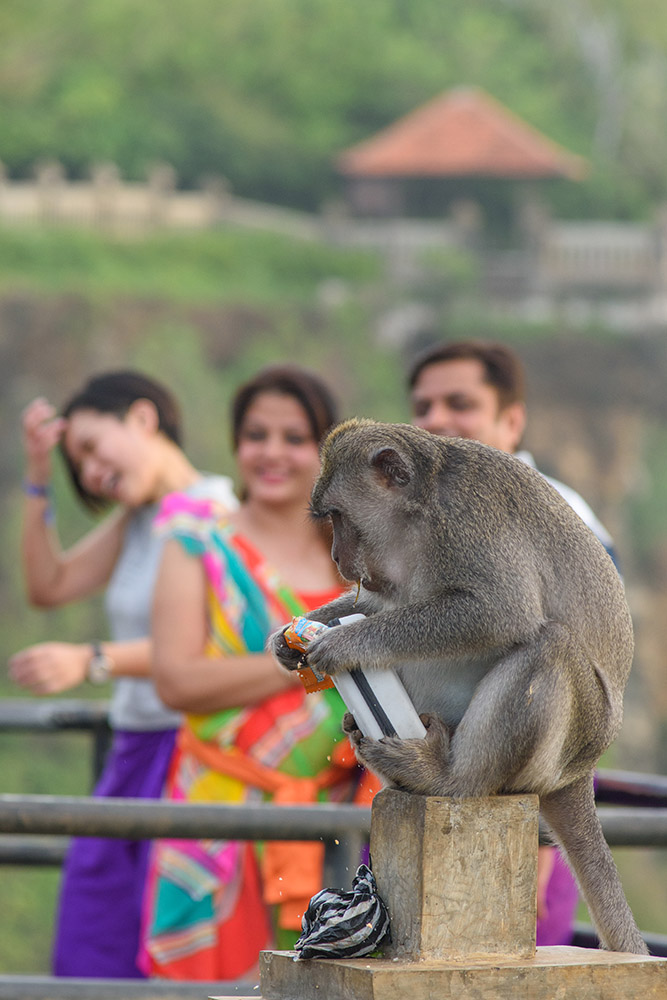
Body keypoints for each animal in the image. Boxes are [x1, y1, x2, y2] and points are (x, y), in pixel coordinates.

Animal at [270, 418, 648, 956]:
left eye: (338, 517)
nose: (337, 557)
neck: (420, 513)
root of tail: (582, 772)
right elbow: (378, 603)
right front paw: (291, 638)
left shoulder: (466, 527)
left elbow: (500, 610)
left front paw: (342, 643)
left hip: (572, 739)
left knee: (549, 645)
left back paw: (444, 776)